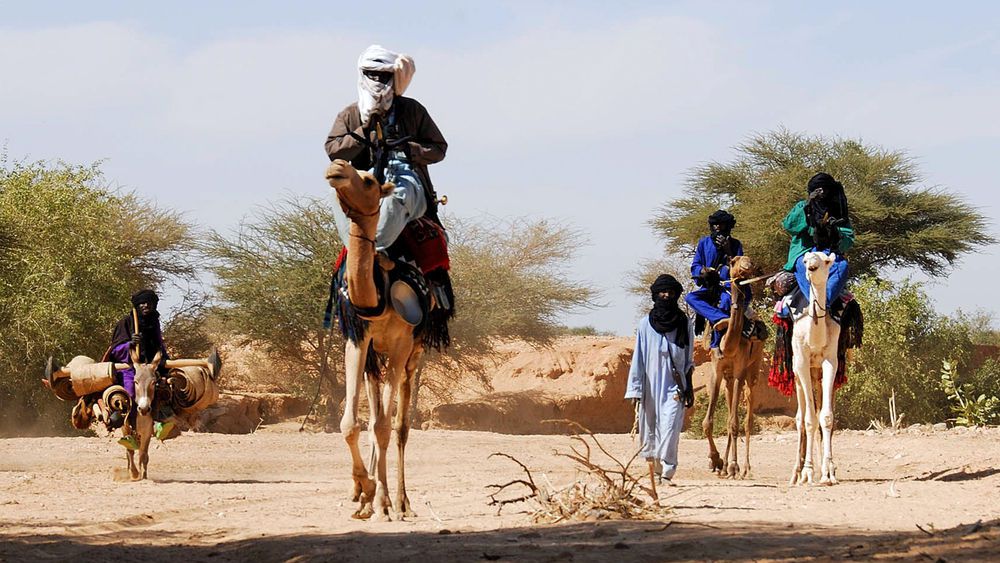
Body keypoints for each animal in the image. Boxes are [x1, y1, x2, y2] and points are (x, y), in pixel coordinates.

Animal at [324, 158, 426, 520]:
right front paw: (364, 490)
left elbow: (385, 427)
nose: (336, 167)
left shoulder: (400, 344)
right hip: (374, 359)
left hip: (414, 356)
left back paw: (401, 502)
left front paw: (381, 499)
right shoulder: (358, 340)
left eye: (368, 181)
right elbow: (352, 424)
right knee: (375, 419)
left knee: (399, 427)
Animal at [704, 256, 764, 480]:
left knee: (746, 419)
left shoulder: (739, 370)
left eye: (749, 259)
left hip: (753, 369)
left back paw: (744, 468)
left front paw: (733, 466)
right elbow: (709, 422)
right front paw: (716, 461)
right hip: (729, 379)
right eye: (734, 261)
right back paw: (725, 467)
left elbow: (735, 422)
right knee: (731, 409)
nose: (747, 267)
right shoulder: (717, 369)